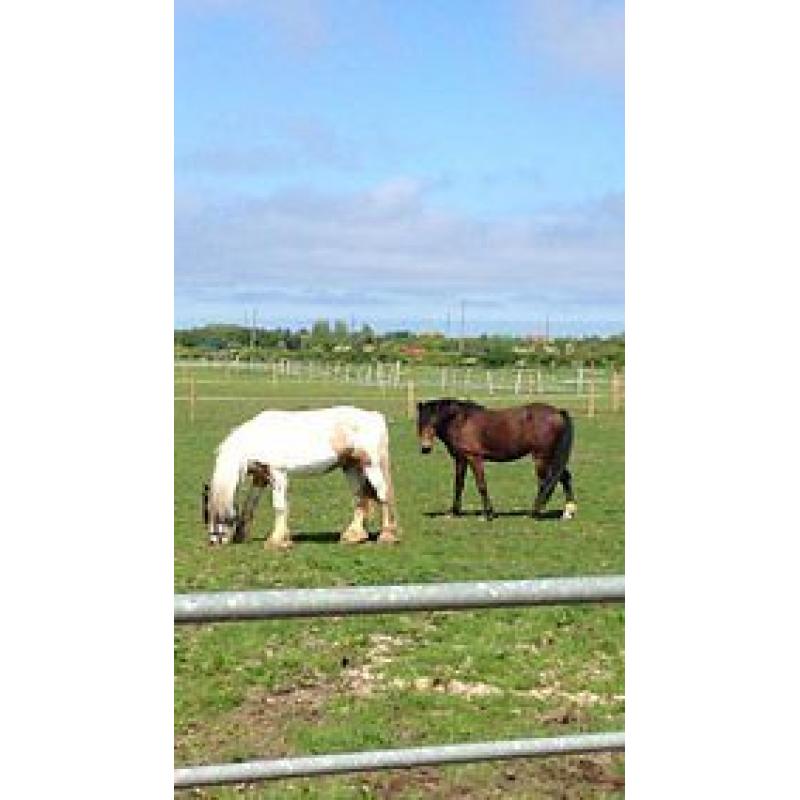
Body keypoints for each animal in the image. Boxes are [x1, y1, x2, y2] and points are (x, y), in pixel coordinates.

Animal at [202, 406, 398, 549]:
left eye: (214, 515)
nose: (214, 542)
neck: (256, 439)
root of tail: (374, 416)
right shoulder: (261, 476)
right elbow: (249, 505)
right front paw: (241, 535)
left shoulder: (278, 474)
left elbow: (279, 506)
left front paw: (276, 541)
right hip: (351, 467)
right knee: (361, 498)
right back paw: (353, 536)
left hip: (371, 466)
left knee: (383, 495)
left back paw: (386, 536)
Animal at [416, 398, 577, 521]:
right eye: (420, 423)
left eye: (434, 421)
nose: (425, 448)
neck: (461, 421)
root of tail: (558, 412)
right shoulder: (461, 459)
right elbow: (458, 485)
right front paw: (453, 512)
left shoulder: (474, 458)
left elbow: (481, 485)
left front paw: (488, 514)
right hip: (552, 457)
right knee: (564, 477)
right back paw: (568, 513)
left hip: (542, 457)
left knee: (544, 483)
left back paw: (534, 513)